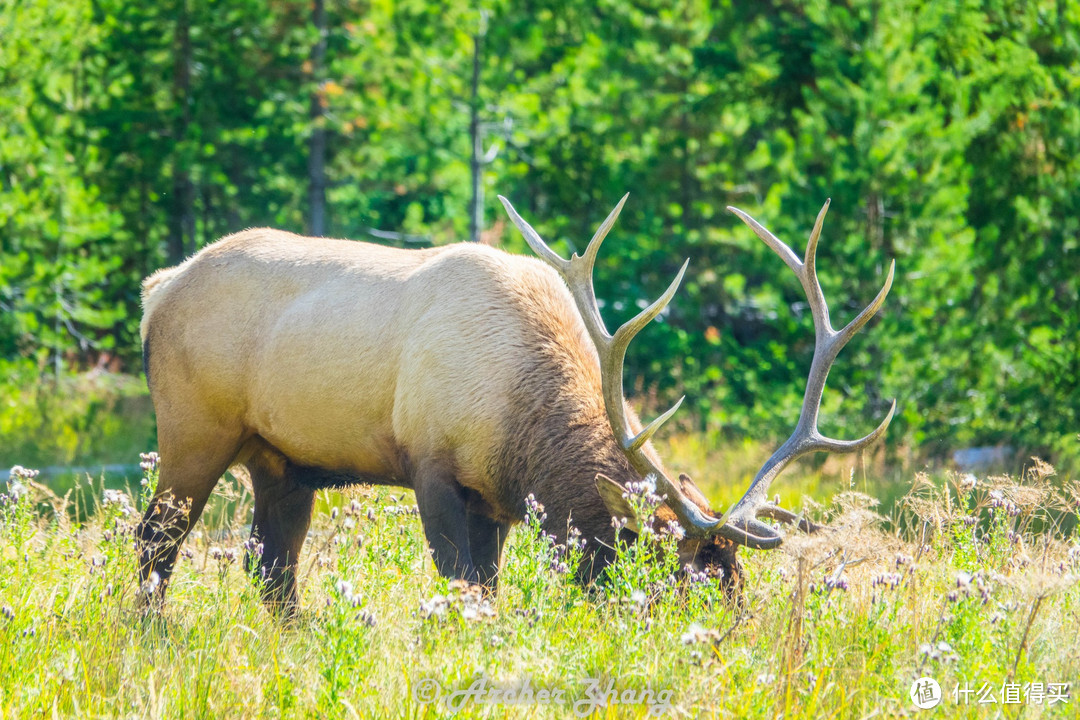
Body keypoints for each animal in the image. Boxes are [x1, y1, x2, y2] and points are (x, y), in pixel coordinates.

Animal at [137, 195, 894, 613]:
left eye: (736, 576)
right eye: (679, 576)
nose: (735, 640)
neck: (520, 423)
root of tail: (158, 288)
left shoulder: (496, 500)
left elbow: (488, 588)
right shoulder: (432, 466)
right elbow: (461, 584)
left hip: (281, 462)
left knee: (272, 568)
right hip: (192, 431)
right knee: (155, 542)